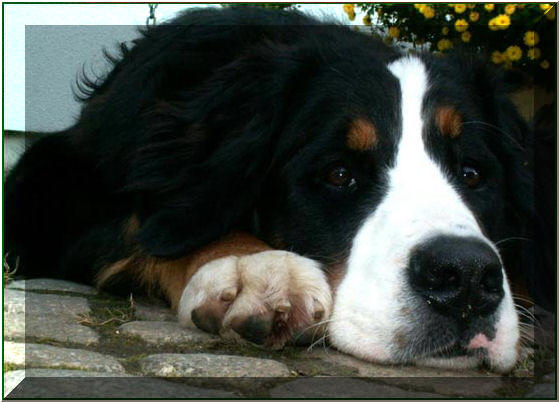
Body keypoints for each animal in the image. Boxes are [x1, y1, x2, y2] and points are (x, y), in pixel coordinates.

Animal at [5, 7, 553, 373]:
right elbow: (152, 222)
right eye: (339, 174)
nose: (465, 277)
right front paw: (256, 269)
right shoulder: (58, 183)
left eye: (472, 174)